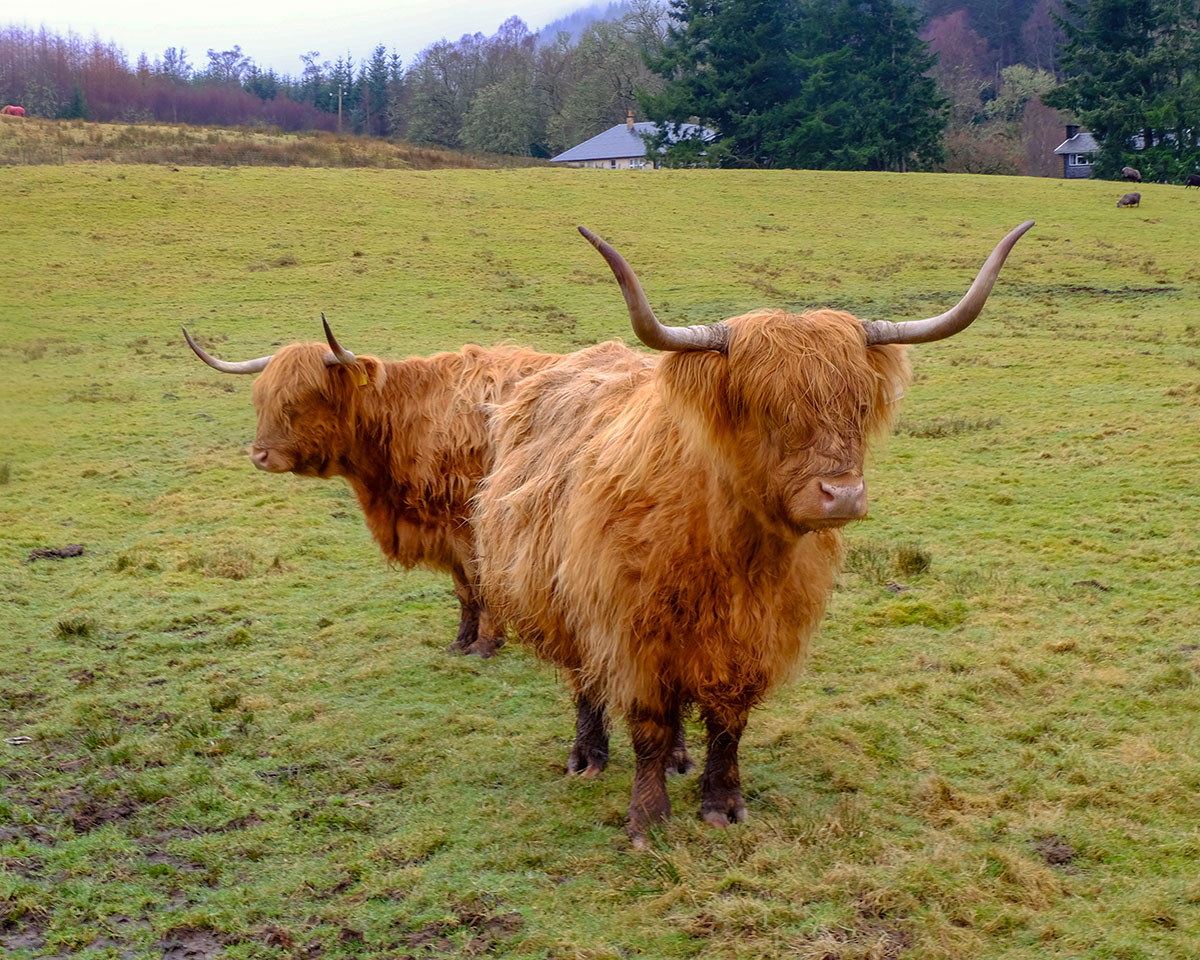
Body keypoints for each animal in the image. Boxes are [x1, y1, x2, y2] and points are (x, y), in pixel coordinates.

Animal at [184, 318, 562, 657]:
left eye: (306, 397)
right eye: (261, 399)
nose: (260, 456)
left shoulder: (468, 524)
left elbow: (480, 584)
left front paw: (485, 644)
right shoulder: (443, 526)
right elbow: (464, 588)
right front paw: (461, 642)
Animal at [474, 221, 1033, 846]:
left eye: (859, 406)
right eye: (767, 409)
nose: (842, 494)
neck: (735, 550)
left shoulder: (753, 636)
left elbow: (728, 721)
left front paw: (721, 802)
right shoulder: (631, 630)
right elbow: (648, 722)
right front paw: (647, 818)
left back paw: (679, 757)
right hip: (560, 602)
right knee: (585, 682)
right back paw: (588, 757)